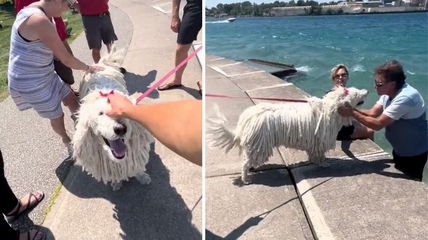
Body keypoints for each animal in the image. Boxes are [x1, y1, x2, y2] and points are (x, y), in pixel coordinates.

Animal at [72, 48, 154, 190]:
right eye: (101, 113)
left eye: (124, 110)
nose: (120, 129)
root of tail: (101, 64)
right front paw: (116, 183)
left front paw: (142, 176)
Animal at [207, 87, 368, 183]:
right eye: (356, 93)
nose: (365, 91)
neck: (330, 110)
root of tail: (246, 120)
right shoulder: (319, 140)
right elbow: (319, 154)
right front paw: (323, 163)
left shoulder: (314, 142)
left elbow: (314, 153)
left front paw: (318, 161)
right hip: (260, 142)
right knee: (246, 163)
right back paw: (246, 178)